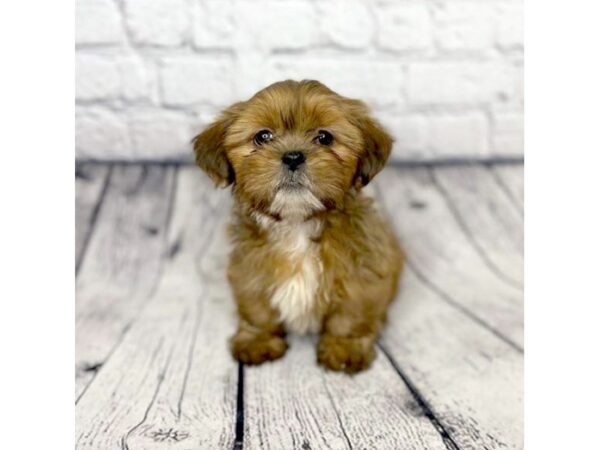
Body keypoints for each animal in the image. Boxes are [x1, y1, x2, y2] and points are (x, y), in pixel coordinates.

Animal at [195, 80, 406, 372]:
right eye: (263, 136)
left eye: (324, 137)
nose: (293, 156)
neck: (298, 223)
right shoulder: (249, 269)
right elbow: (257, 308)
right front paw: (258, 340)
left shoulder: (362, 269)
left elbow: (351, 312)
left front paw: (344, 347)